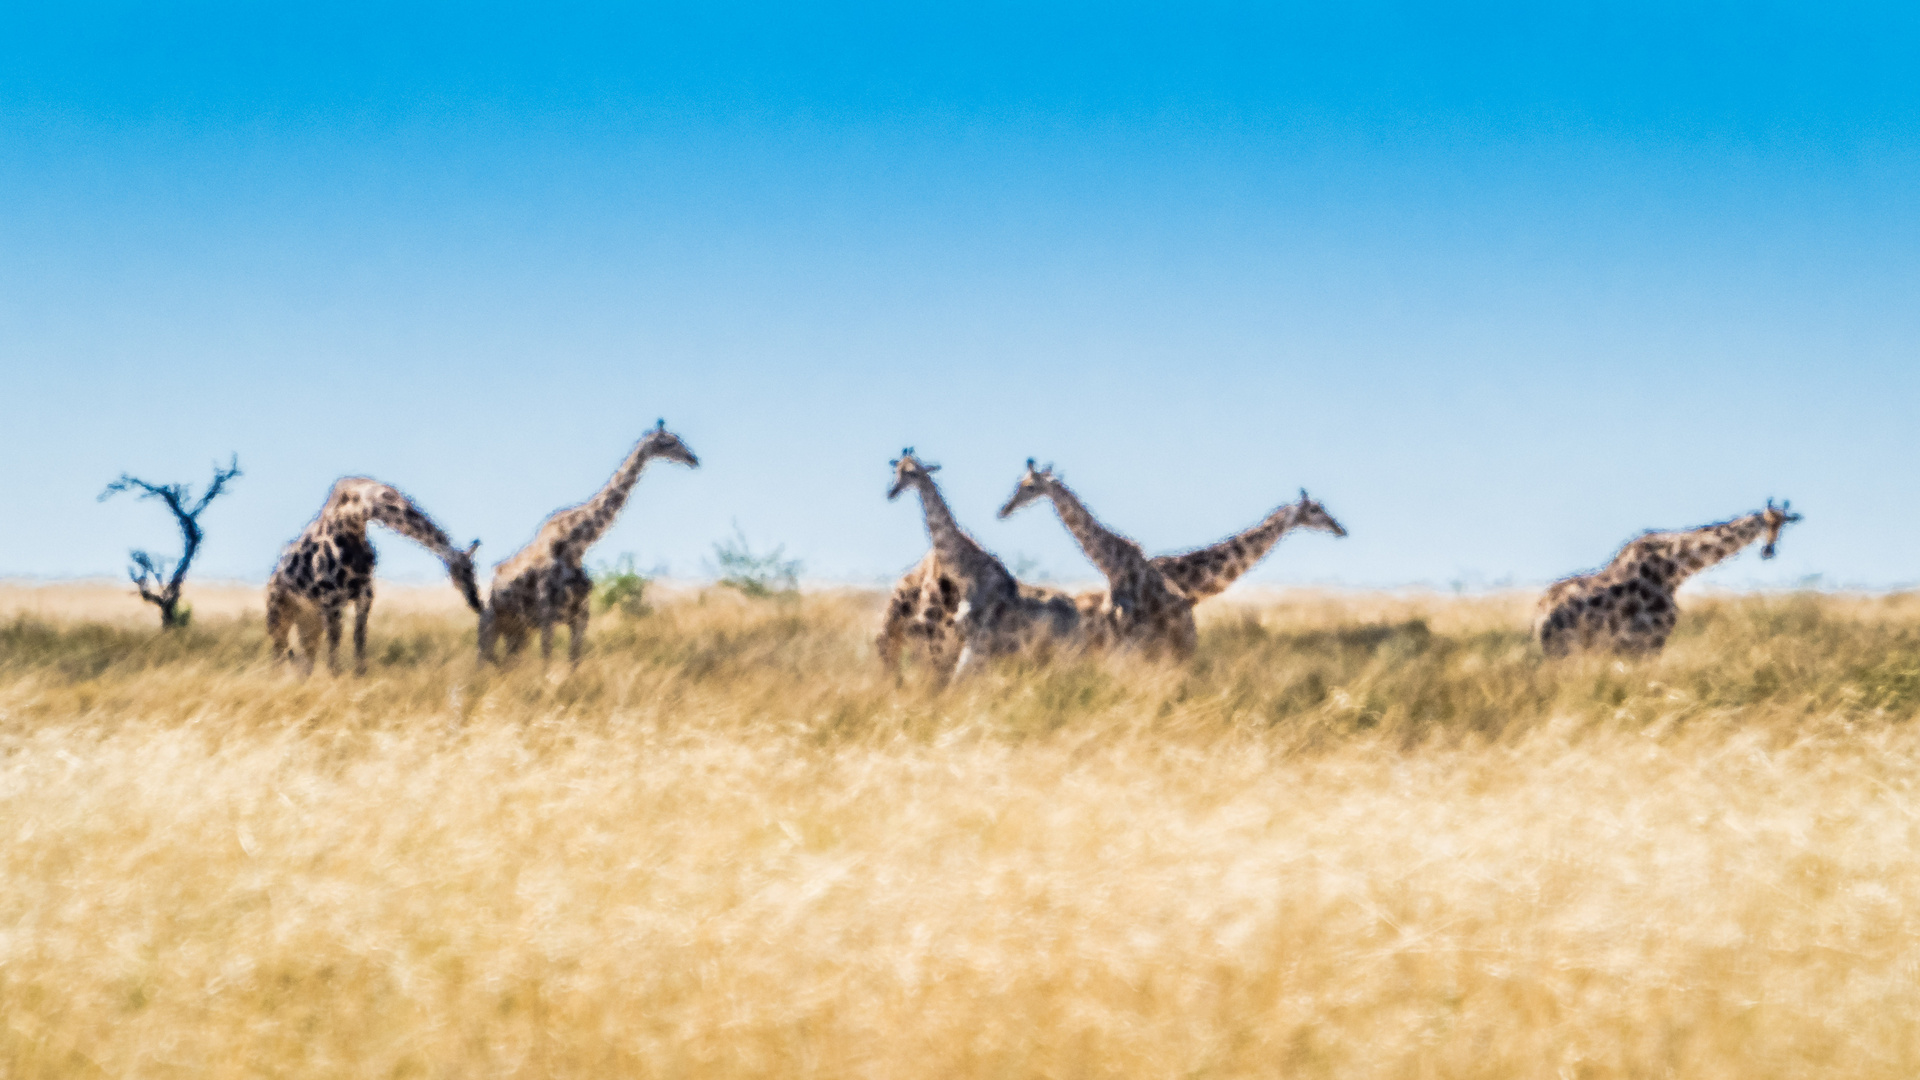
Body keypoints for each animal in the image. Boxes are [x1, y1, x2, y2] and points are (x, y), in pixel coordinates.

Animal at [268, 476, 480, 672]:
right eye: (464, 574)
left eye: (474, 572)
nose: (476, 602)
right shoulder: (331, 599)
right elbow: (335, 644)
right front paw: (335, 680)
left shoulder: (365, 595)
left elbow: (359, 640)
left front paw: (359, 677)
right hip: (279, 614)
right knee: (279, 652)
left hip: (309, 618)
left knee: (304, 657)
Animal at [480, 422, 698, 664]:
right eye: (669, 442)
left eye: (677, 439)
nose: (693, 459)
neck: (575, 546)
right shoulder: (547, 616)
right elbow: (547, 662)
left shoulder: (580, 617)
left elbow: (574, 662)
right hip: (491, 623)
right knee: (484, 658)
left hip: (518, 630)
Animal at [990, 455, 1198, 657]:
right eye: (1019, 483)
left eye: (1031, 487)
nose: (1004, 510)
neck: (1112, 567)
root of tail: (1188, 612)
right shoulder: (1115, 628)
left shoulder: (1128, 629)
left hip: (1180, 640)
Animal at [1528, 499, 1797, 657]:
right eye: (1766, 523)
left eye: (1782, 525)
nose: (1768, 551)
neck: (1673, 569)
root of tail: (1540, 614)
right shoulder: (1649, 641)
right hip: (1564, 649)